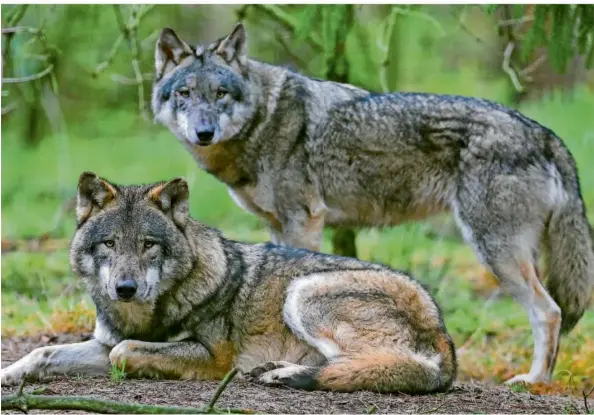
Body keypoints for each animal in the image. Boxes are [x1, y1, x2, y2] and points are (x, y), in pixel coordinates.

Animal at [0, 173, 456, 396]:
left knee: (374, 366)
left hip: (304, 292)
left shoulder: (213, 358)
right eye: (110, 243)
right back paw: (277, 371)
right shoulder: (103, 342)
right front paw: (10, 374)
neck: (148, 313)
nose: (125, 288)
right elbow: (43, 352)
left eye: (148, 244)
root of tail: (443, 332)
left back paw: (284, 375)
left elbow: (125, 352)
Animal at [149, 23, 592, 386]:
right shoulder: (278, 226)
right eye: (185, 94)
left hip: (495, 252)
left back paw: (535, 381)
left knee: (549, 312)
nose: (204, 132)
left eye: (220, 94)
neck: (264, 119)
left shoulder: (303, 221)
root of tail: (545, 133)